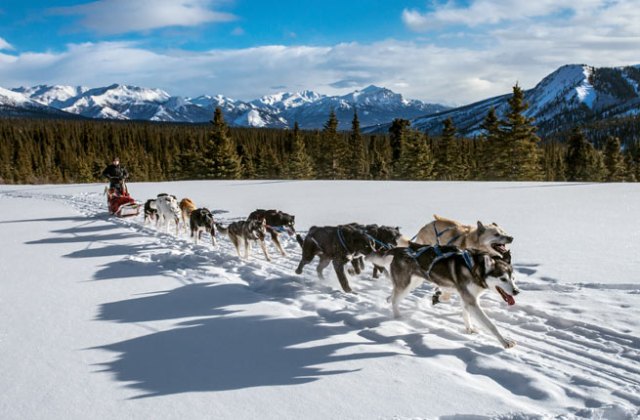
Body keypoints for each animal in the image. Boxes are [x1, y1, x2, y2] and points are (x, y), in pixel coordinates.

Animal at [374, 243, 519, 349]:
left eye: (513, 278)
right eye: (503, 279)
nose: (516, 291)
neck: (474, 268)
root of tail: (400, 249)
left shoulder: (467, 297)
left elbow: (466, 314)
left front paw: (469, 329)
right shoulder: (471, 300)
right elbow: (491, 325)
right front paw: (505, 341)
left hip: (413, 283)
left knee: (392, 296)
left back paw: (389, 301)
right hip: (405, 285)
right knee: (395, 299)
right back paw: (398, 318)